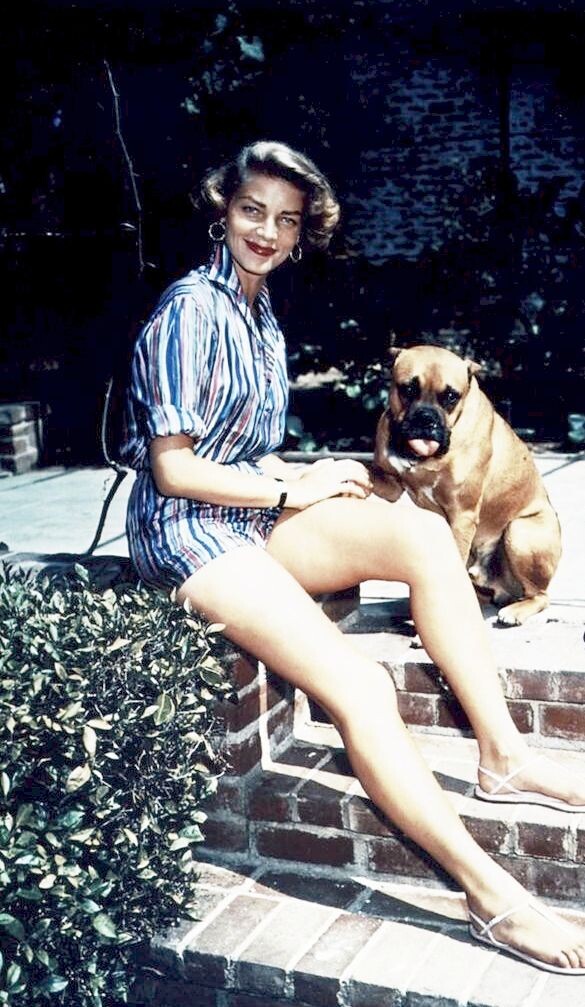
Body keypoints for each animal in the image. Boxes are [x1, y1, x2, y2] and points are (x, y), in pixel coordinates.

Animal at [373, 344, 562, 625]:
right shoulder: (389, 483)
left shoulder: (462, 515)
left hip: (520, 532)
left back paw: (514, 611)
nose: (425, 418)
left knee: (539, 595)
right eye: (408, 389)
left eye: (451, 396)